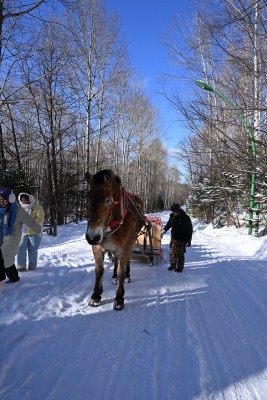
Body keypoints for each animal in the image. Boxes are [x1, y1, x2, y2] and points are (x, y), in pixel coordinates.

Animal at [85, 169, 147, 310]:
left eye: (108, 200)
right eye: (87, 197)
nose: (92, 237)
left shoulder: (125, 248)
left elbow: (121, 271)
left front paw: (119, 298)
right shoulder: (97, 248)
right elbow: (99, 271)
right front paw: (96, 296)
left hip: (131, 242)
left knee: (125, 262)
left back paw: (127, 276)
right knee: (116, 259)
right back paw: (113, 277)